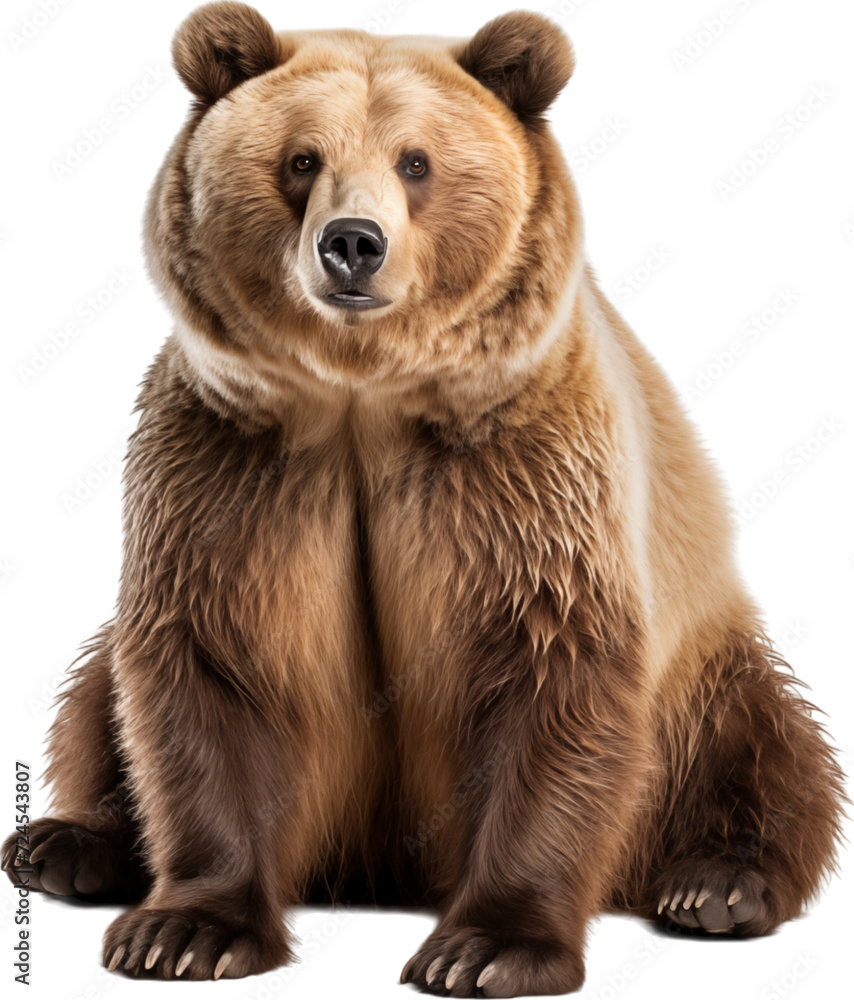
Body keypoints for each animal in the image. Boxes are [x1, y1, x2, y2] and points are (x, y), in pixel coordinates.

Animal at [2, 2, 845, 994]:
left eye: (416, 161)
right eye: (302, 159)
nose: (353, 243)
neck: (363, 398)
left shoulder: (521, 477)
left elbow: (550, 670)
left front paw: (489, 947)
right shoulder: (230, 473)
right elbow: (209, 667)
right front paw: (186, 930)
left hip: (706, 662)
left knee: (765, 739)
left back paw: (718, 884)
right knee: (96, 698)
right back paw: (63, 843)